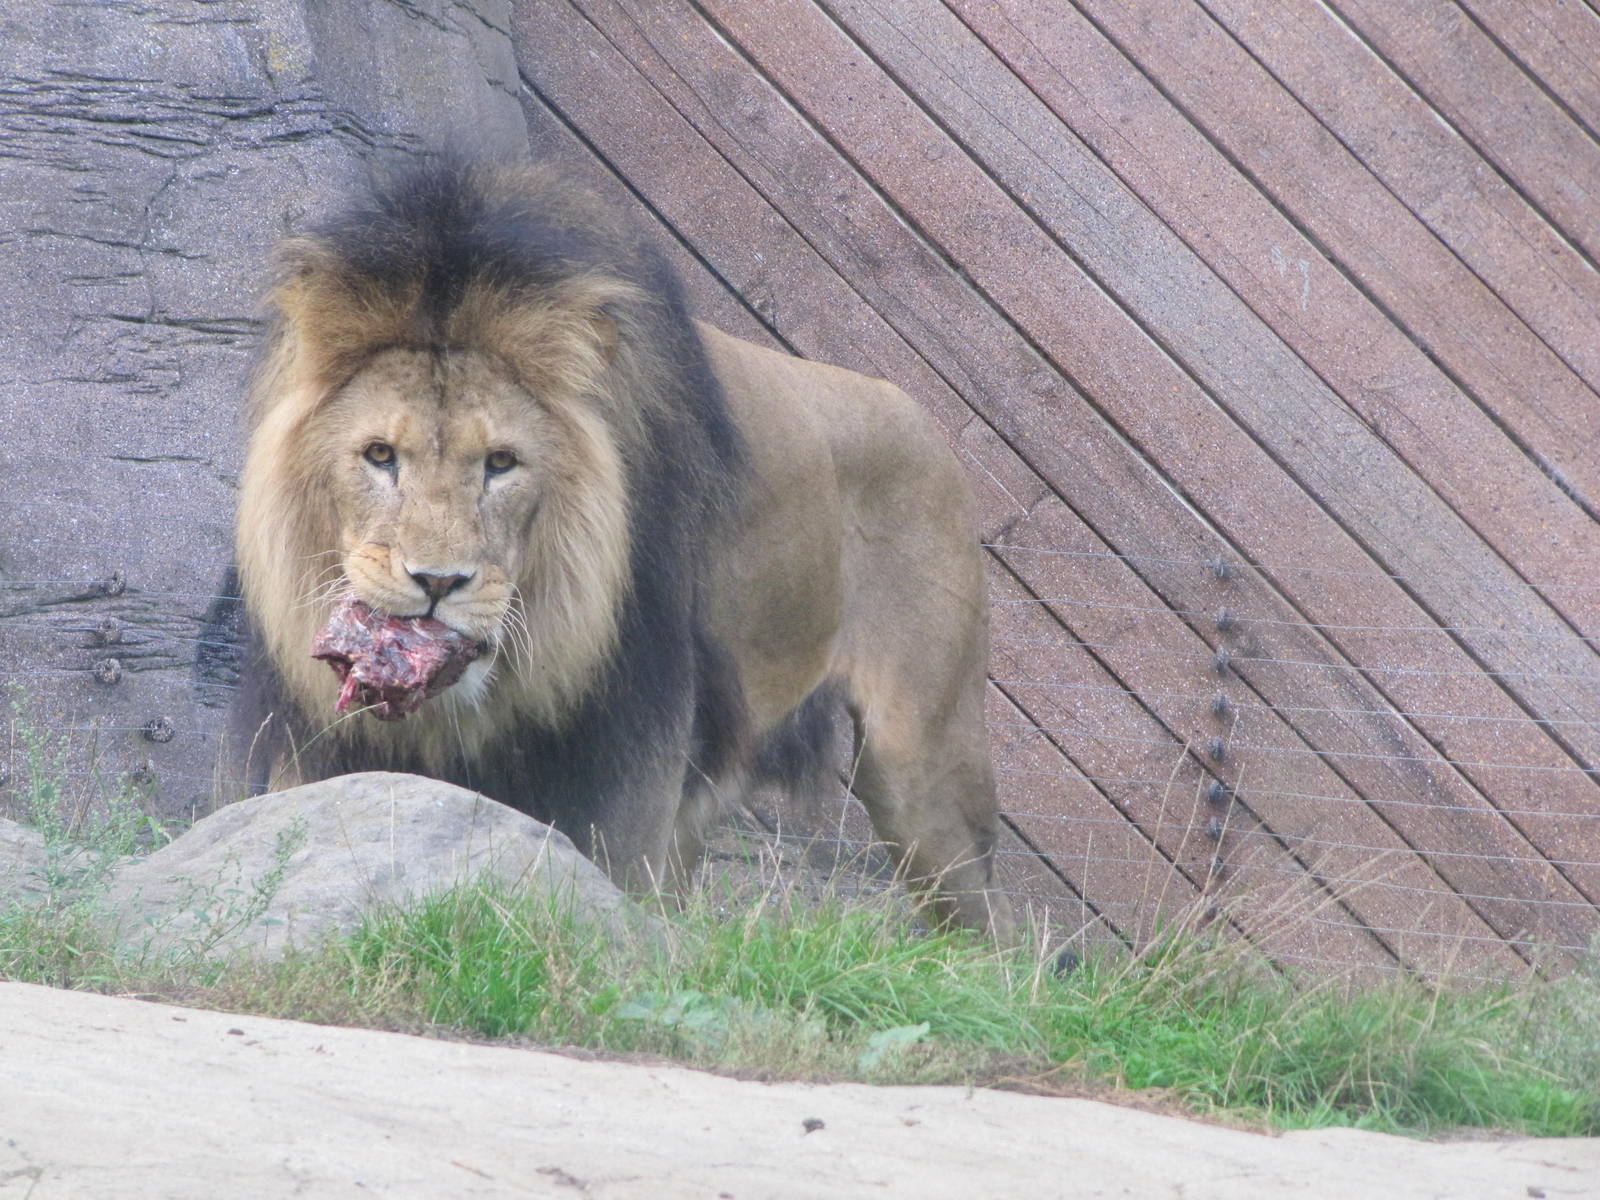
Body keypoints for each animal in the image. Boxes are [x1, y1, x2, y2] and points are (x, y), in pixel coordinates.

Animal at [229, 159, 1014, 938]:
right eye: (379, 455)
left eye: (502, 464)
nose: (437, 583)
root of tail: (923, 418)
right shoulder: (322, 749)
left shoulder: (632, 769)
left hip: (920, 766)